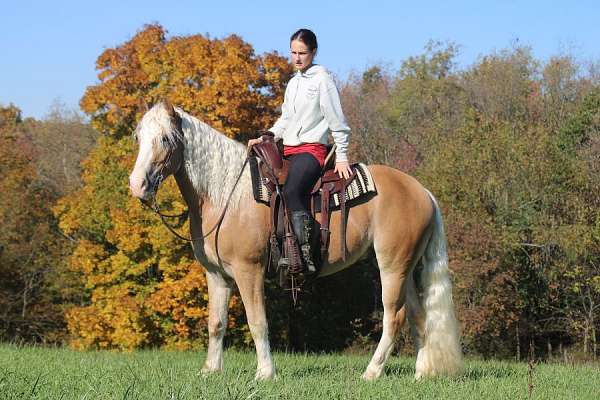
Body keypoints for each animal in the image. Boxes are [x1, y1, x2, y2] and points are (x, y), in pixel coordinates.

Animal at [127, 101, 464, 382]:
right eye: (139, 137)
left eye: (166, 139)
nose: (137, 185)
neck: (226, 194)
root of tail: (423, 192)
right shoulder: (217, 275)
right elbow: (216, 323)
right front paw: (210, 371)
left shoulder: (249, 271)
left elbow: (257, 321)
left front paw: (265, 373)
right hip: (405, 268)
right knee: (418, 315)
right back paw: (420, 374)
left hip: (392, 266)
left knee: (394, 317)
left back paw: (371, 372)